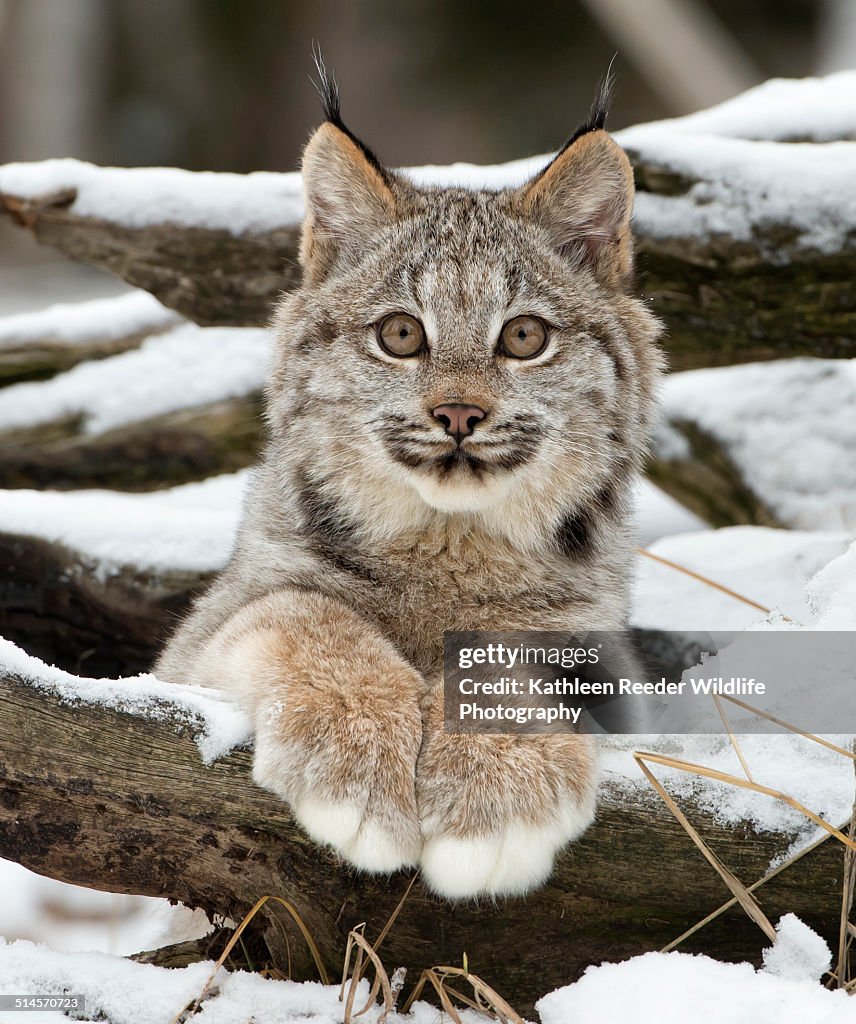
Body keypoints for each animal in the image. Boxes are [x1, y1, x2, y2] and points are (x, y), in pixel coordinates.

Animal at [156, 70, 663, 897]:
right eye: (400, 335)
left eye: (524, 337)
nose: (458, 413)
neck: (449, 543)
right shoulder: (197, 642)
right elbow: (304, 612)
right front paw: (355, 759)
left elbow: (508, 659)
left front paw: (495, 788)